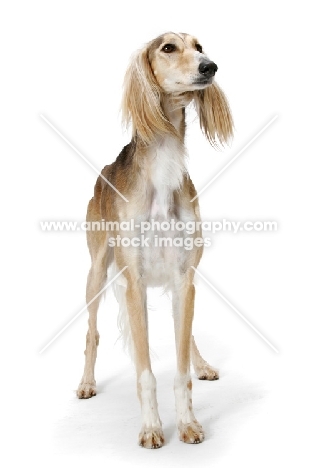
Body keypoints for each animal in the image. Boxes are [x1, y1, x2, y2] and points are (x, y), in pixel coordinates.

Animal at [77, 31, 233, 448]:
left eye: (199, 46)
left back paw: (202, 364)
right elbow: (145, 373)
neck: (164, 166)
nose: (210, 66)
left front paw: (188, 423)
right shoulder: (134, 283)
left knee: (187, 335)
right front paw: (151, 427)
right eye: (168, 48)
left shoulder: (184, 278)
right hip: (97, 272)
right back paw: (86, 383)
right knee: (92, 333)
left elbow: (180, 369)